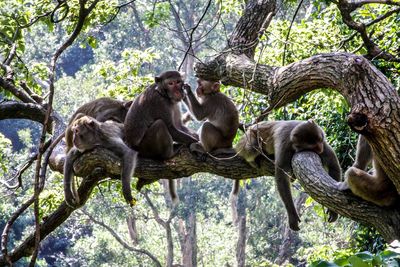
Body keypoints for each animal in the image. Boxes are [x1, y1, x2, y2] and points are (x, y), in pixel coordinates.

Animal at [125, 70, 198, 204]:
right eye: (170, 83)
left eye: (178, 82)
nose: (177, 91)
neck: (163, 94)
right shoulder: (159, 102)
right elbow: (171, 128)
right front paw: (198, 144)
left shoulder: (174, 103)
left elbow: (179, 126)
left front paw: (197, 137)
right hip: (145, 148)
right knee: (160, 124)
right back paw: (169, 154)